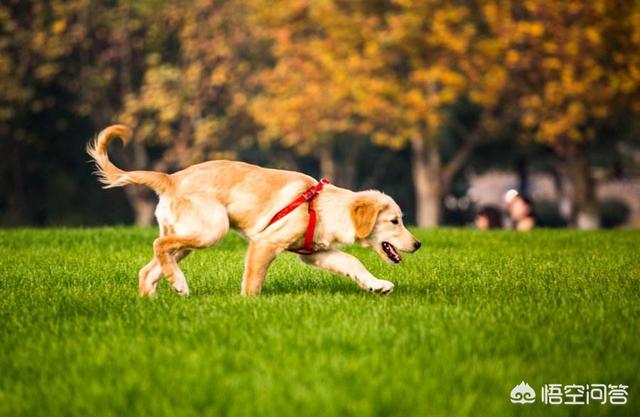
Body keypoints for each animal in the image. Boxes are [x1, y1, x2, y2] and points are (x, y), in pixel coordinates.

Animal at [89, 123, 420, 296]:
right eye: (395, 221)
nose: (418, 244)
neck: (319, 206)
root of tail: (171, 178)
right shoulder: (265, 242)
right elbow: (253, 281)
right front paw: (249, 305)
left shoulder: (317, 253)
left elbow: (353, 262)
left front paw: (376, 285)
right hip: (212, 228)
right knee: (159, 245)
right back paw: (180, 284)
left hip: (187, 236)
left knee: (149, 268)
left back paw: (155, 298)